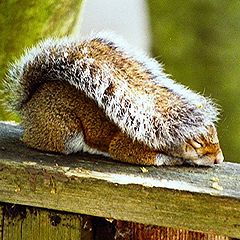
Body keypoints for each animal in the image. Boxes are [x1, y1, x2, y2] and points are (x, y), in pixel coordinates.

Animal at [3, 31, 223, 166]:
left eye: (215, 134)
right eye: (196, 144)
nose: (219, 159)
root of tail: (29, 103)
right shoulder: (127, 145)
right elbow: (142, 156)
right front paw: (174, 160)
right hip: (62, 130)